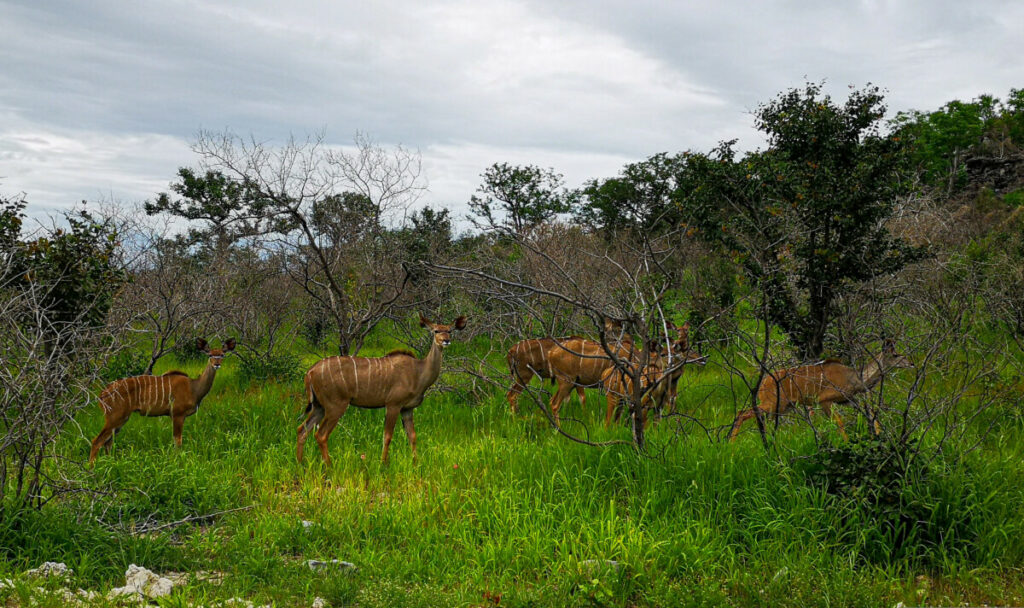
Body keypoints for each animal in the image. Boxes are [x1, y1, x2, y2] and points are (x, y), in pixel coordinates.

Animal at [89, 337, 236, 460]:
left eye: (222, 355)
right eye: (210, 355)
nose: (217, 364)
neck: (193, 388)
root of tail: (102, 394)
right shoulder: (177, 414)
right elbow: (178, 442)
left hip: (121, 419)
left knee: (108, 442)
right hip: (114, 417)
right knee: (97, 441)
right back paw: (92, 469)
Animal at [299, 313, 468, 464]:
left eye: (450, 330)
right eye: (436, 331)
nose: (446, 341)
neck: (418, 372)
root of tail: (310, 372)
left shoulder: (407, 409)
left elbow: (412, 436)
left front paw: (416, 463)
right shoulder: (393, 404)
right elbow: (387, 436)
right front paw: (383, 464)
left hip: (319, 406)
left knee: (302, 430)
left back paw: (301, 464)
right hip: (336, 405)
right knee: (321, 434)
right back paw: (329, 466)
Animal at [724, 335, 917, 440]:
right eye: (895, 354)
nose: (912, 363)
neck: (855, 377)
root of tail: (764, 382)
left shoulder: (848, 400)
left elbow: (870, 415)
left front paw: (877, 435)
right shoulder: (825, 400)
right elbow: (839, 422)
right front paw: (846, 442)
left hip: (783, 407)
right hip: (772, 403)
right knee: (742, 413)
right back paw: (731, 444)